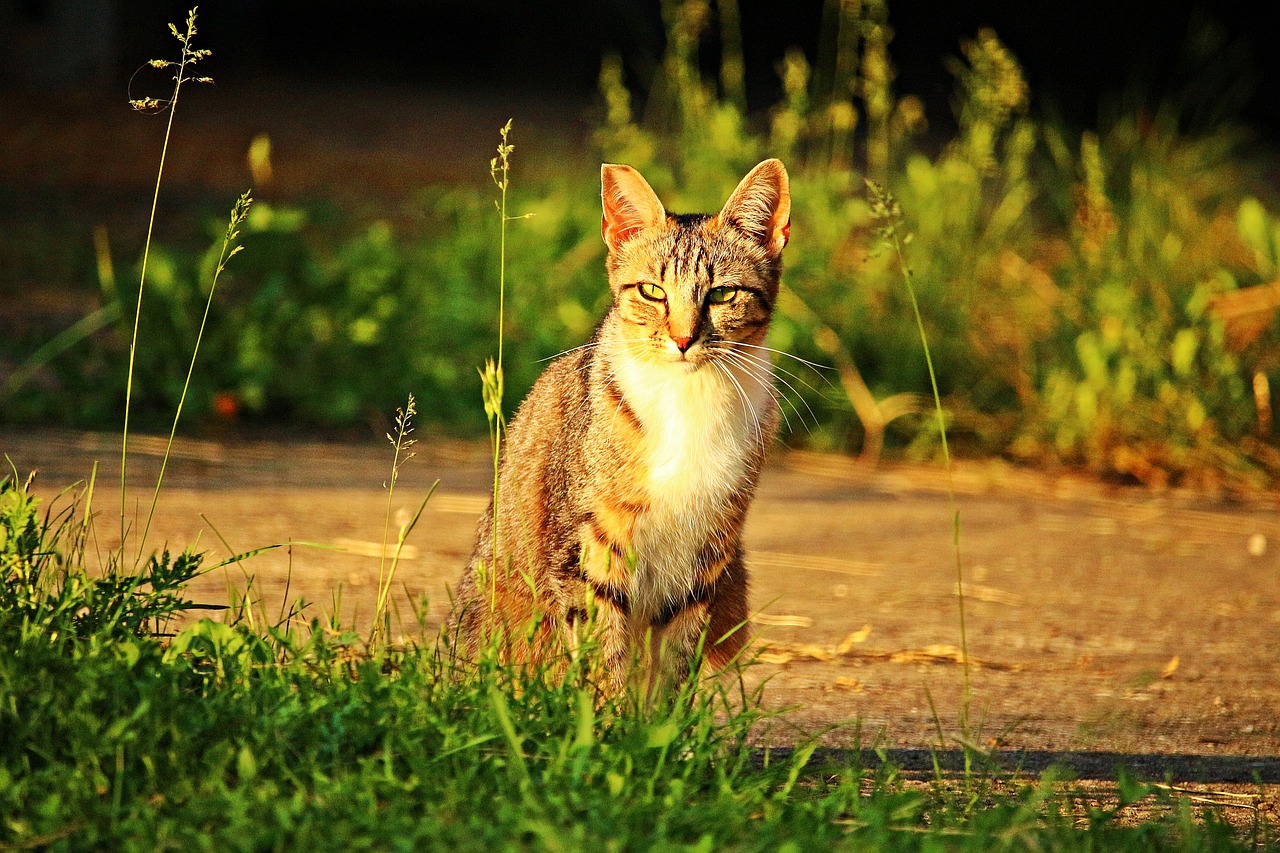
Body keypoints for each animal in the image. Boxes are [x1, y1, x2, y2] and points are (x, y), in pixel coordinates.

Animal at [450, 159, 788, 691]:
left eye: (722, 294)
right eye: (652, 291)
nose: (683, 339)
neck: (687, 399)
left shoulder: (706, 552)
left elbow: (673, 663)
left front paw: (663, 716)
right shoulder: (588, 547)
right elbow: (602, 654)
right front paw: (604, 713)